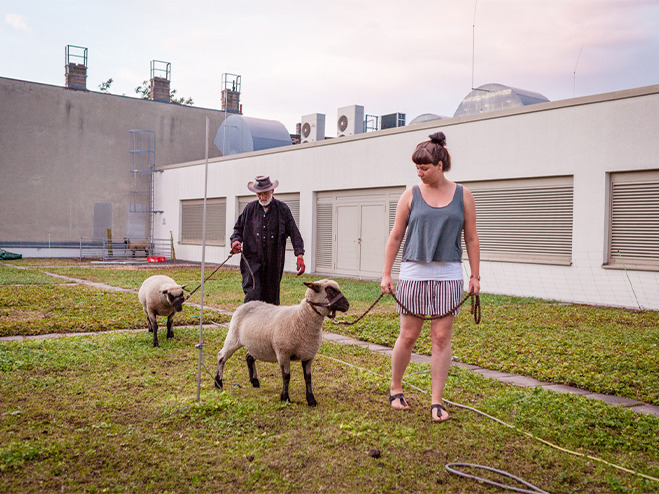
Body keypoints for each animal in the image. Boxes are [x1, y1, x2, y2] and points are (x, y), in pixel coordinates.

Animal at [215, 280, 350, 408]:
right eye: (330, 290)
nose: (347, 305)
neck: (301, 317)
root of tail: (245, 305)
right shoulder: (283, 353)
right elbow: (286, 376)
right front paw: (285, 398)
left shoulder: (309, 355)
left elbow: (308, 378)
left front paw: (311, 400)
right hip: (233, 336)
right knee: (221, 357)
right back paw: (218, 383)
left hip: (255, 344)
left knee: (249, 357)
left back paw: (254, 381)